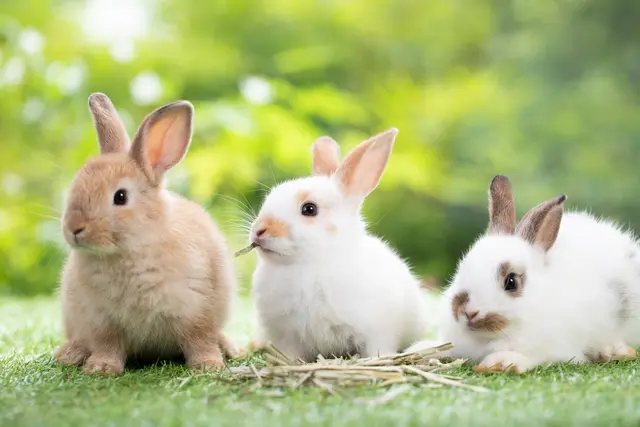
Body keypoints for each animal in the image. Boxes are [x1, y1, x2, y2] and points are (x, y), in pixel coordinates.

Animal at [53, 93, 243, 375]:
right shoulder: (102, 320)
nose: (74, 228)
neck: (133, 248)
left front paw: (209, 366)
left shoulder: (196, 310)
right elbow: (107, 345)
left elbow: (200, 340)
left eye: (120, 197)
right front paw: (100, 368)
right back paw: (69, 354)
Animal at [249, 128, 429, 362]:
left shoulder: (376, 331)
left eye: (309, 209)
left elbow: (376, 349)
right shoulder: (287, 336)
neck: (311, 264)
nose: (258, 230)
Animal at [408, 175, 640, 373]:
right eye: (461, 269)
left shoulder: (552, 348)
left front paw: (499, 363)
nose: (469, 312)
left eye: (511, 282)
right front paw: (420, 350)